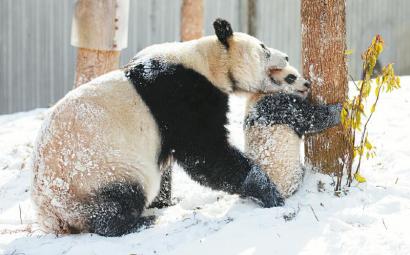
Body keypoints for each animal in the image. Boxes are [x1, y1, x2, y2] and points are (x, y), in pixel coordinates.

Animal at [32, 18, 294, 237]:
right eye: (264, 49)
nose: (287, 57)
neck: (207, 61)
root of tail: (52, 216)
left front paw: (166, 202)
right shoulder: (181, 94)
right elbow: (206, 155)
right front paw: (268, 191)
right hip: (96, 172)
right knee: (118, 198)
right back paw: (135, 223)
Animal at [243, 63, 342, 197]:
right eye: (291, 78)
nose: (307, 84)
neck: (263, 92)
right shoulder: (281, 105)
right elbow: (311, 118)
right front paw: (337, 109)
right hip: (288, 174)